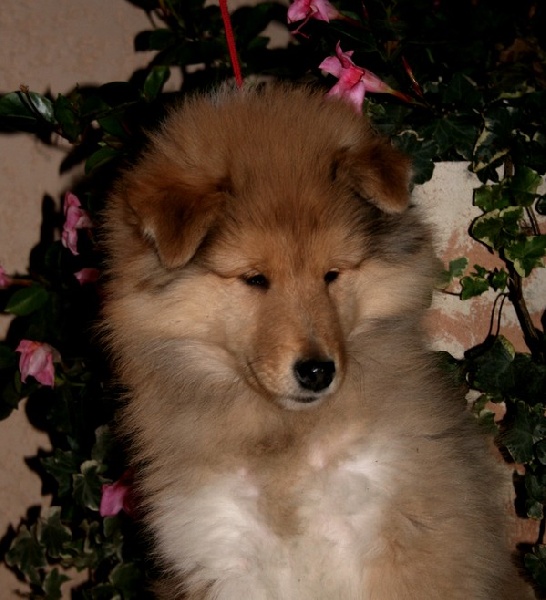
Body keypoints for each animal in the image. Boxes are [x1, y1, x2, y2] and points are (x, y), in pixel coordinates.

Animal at [102, 84, 532, 599]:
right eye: (255, 279)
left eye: (332, 274)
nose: (316, 372)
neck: (284, 435)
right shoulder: (225, 554)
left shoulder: (404, 537)